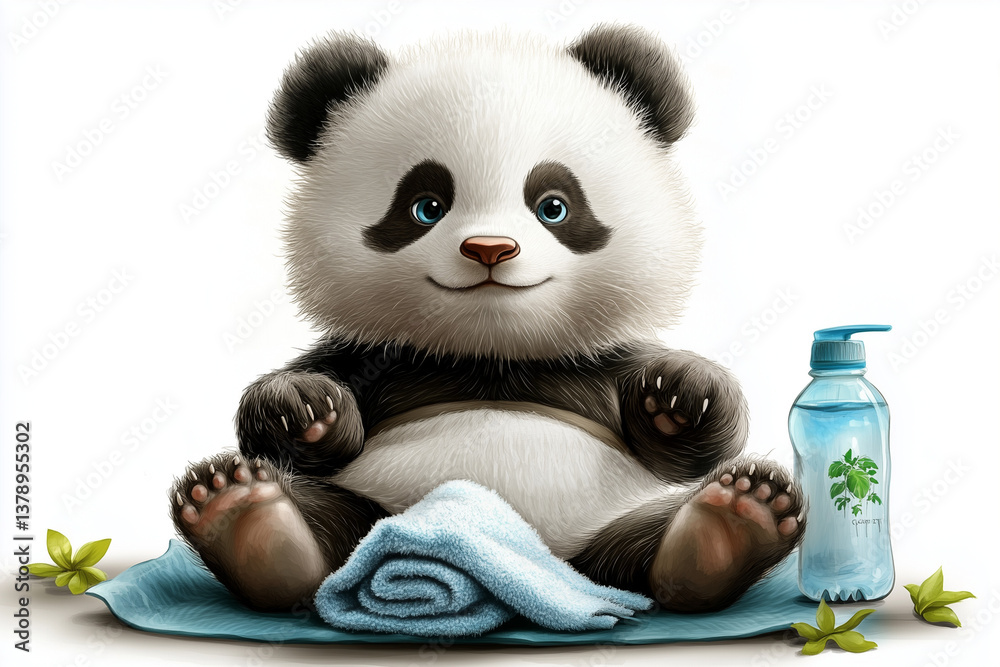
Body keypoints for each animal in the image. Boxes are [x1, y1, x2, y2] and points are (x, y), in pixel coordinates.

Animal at [170, 24, 805, 615]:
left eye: (554, 205)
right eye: (426, 206)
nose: (490, 248)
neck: (491, 352)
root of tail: (545, 571)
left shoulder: (600, 359)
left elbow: (688, 447)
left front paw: (681, 394)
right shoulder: (374, 356)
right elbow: (290, 423)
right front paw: (301, 406)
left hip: (610, 530)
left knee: (650, 541)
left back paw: (732, 526)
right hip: (376, 520)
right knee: (327, 524)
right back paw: (246, 520)